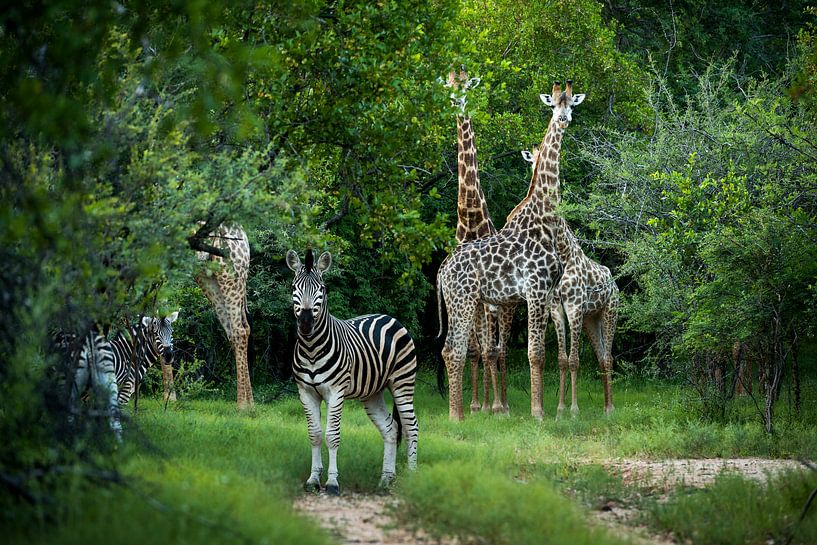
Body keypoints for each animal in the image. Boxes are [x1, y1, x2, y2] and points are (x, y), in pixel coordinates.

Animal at [286, 249, 419, 495]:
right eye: (293, 287)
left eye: (322, 289)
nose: (306, 323)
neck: (311, 348)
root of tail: (390, 317)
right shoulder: (305, 392)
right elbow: (314, 434)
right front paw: (313, 479)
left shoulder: (335, 392)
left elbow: (332, 436)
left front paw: (332, 483)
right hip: (373, 393)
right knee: (391, 428)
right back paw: (385, 480)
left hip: (403, 383)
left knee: (410, 427)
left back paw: (413, 476)